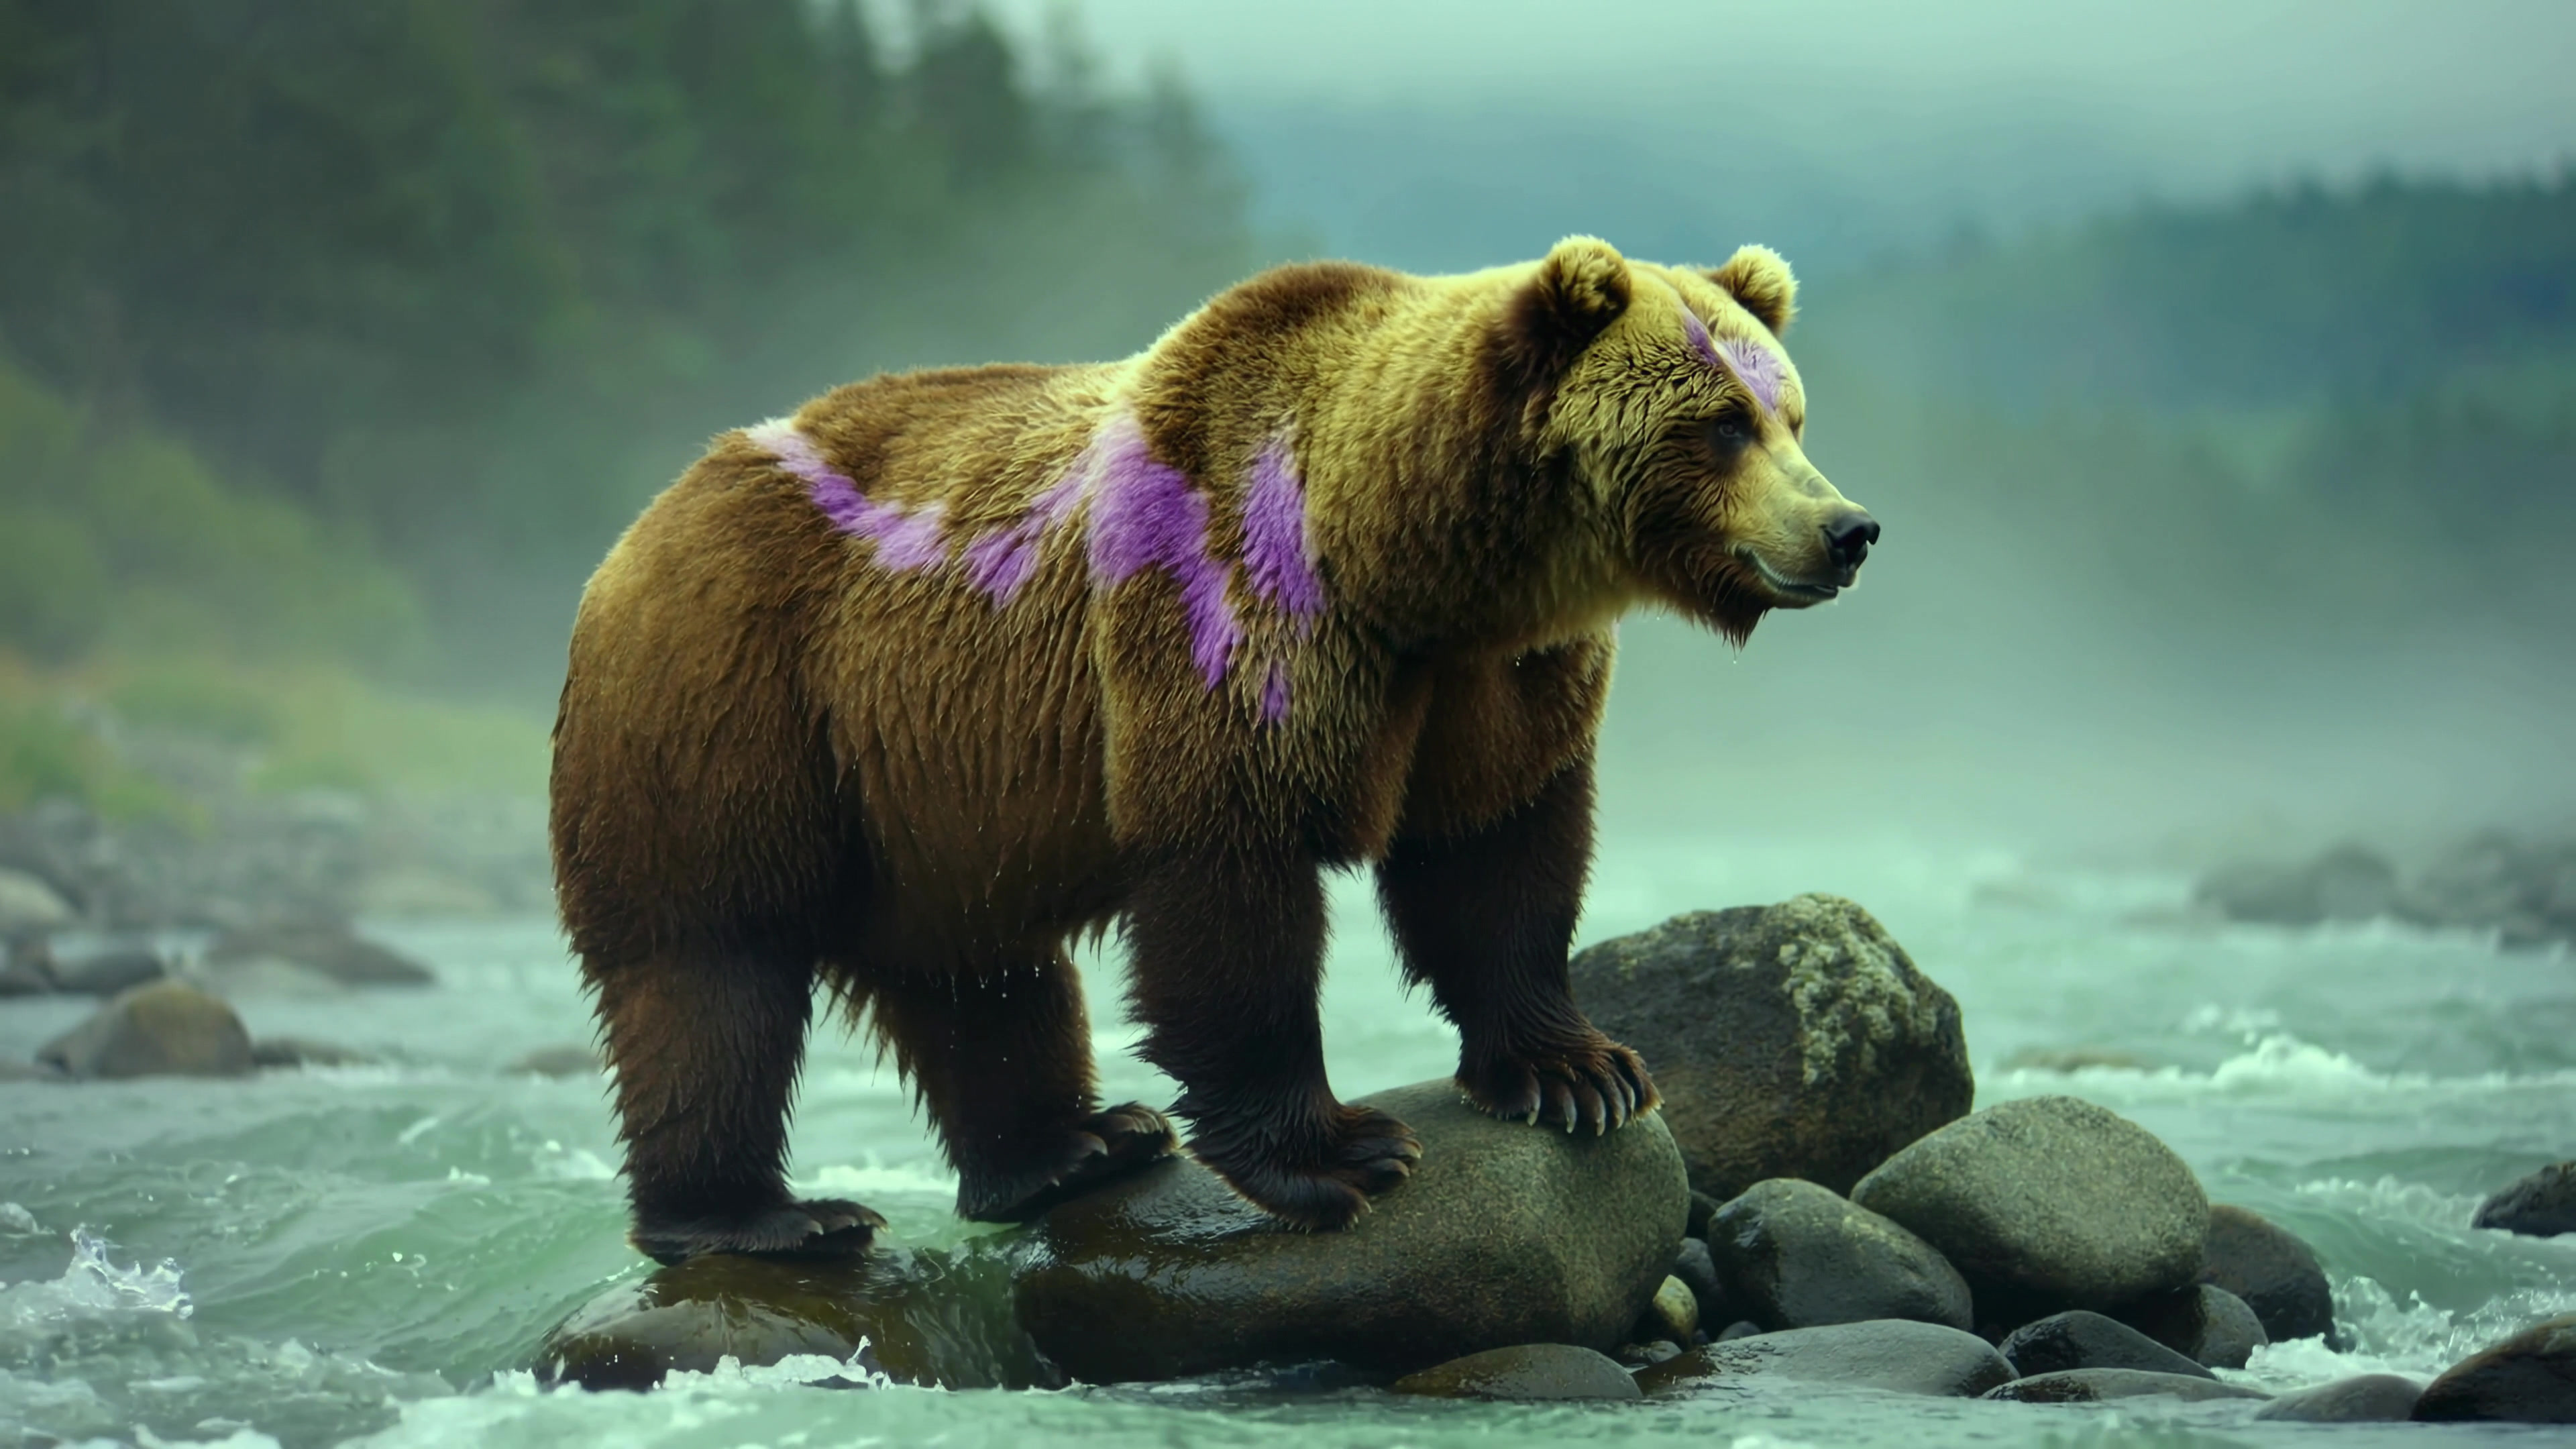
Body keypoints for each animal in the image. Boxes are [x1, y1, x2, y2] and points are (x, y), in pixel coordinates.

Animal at [549, 235, 1877, 1263]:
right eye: (1720, 425)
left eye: (1791, 414)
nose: (1848, 528)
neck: (1417, 564)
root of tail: (643, 523)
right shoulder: (1233, 609)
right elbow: (1232, 877)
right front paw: (1342, 1153)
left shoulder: (1491, 682)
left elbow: (1497, 853)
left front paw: (1579, 1074)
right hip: (734, 701)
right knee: (710, 967)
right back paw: (764, 1216)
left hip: (921, 790)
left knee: (977, 968)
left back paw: (1070, 1149)